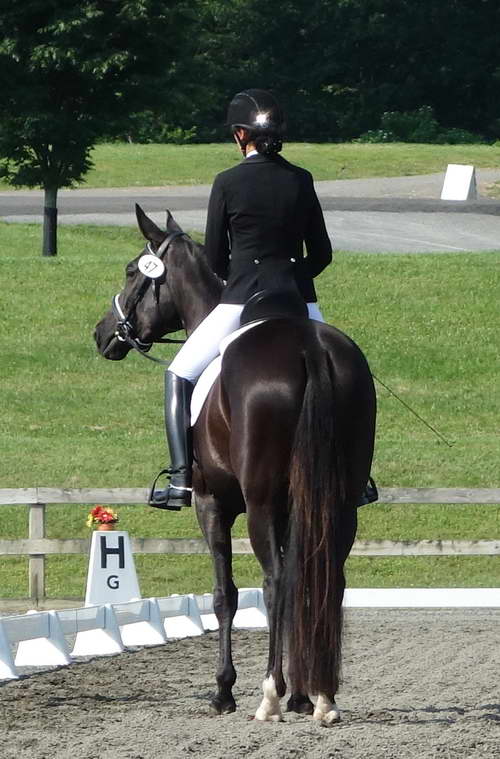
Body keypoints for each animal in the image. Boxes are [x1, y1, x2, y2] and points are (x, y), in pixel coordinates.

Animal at [93, 205, 376, 728]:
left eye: (130, 271)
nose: (104, 334)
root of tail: (307, 347)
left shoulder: (212, 504)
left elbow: (225, 594)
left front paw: (225, 691)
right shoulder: (294, 506)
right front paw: (300, 695)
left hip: (259, 502)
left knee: (275, 580)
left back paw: (269, 696)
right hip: (340, 501)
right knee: (327, 577)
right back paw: (322, 697)